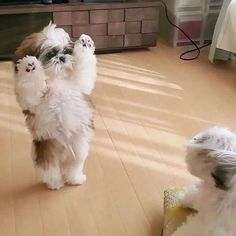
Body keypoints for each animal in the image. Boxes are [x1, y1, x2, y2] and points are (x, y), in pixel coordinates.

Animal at [13, 23, 96, 190]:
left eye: (66, 51)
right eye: (51, 54)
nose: (62, 58)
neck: (56, 78)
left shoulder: (78, 83)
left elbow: (83, 72)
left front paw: (85, 43)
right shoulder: (31, 100)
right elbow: (31, 87)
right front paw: (30, 66)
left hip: (79, 146)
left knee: (75, 164)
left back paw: (75, 178)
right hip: (47, 149)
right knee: (49, 168)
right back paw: (55, 183)